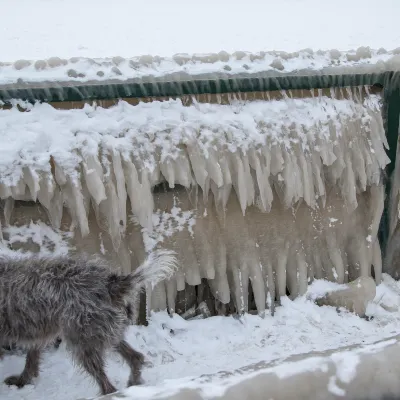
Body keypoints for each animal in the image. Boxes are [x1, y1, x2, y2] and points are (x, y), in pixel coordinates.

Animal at [0, 250, 177, 394]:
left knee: (107, 384)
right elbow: (31, 358)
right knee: (135, 357)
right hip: (102, 330)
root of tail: (109, 284)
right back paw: (134, 382)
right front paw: (23, 381)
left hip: (83, 339)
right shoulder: (36, 332)